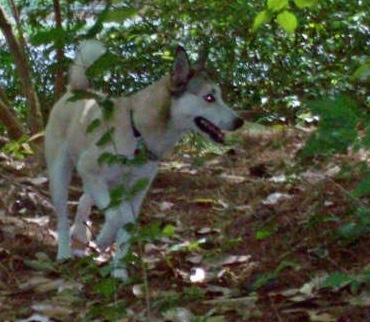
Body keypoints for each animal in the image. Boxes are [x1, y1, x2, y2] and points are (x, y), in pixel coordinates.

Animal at [44, 40, 244, 280]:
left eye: (219, 96)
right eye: (209, 97)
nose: (240, 121)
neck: (137, 131)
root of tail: (76, 90)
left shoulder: (137, 190)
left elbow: (127, 225)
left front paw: (119, 273)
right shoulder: (90, 168)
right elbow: (115, 217)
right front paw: (103, 241)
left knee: (85, 199)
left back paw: (81, 238)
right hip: (62, 174)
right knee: (63, 214)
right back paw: (65, 250)